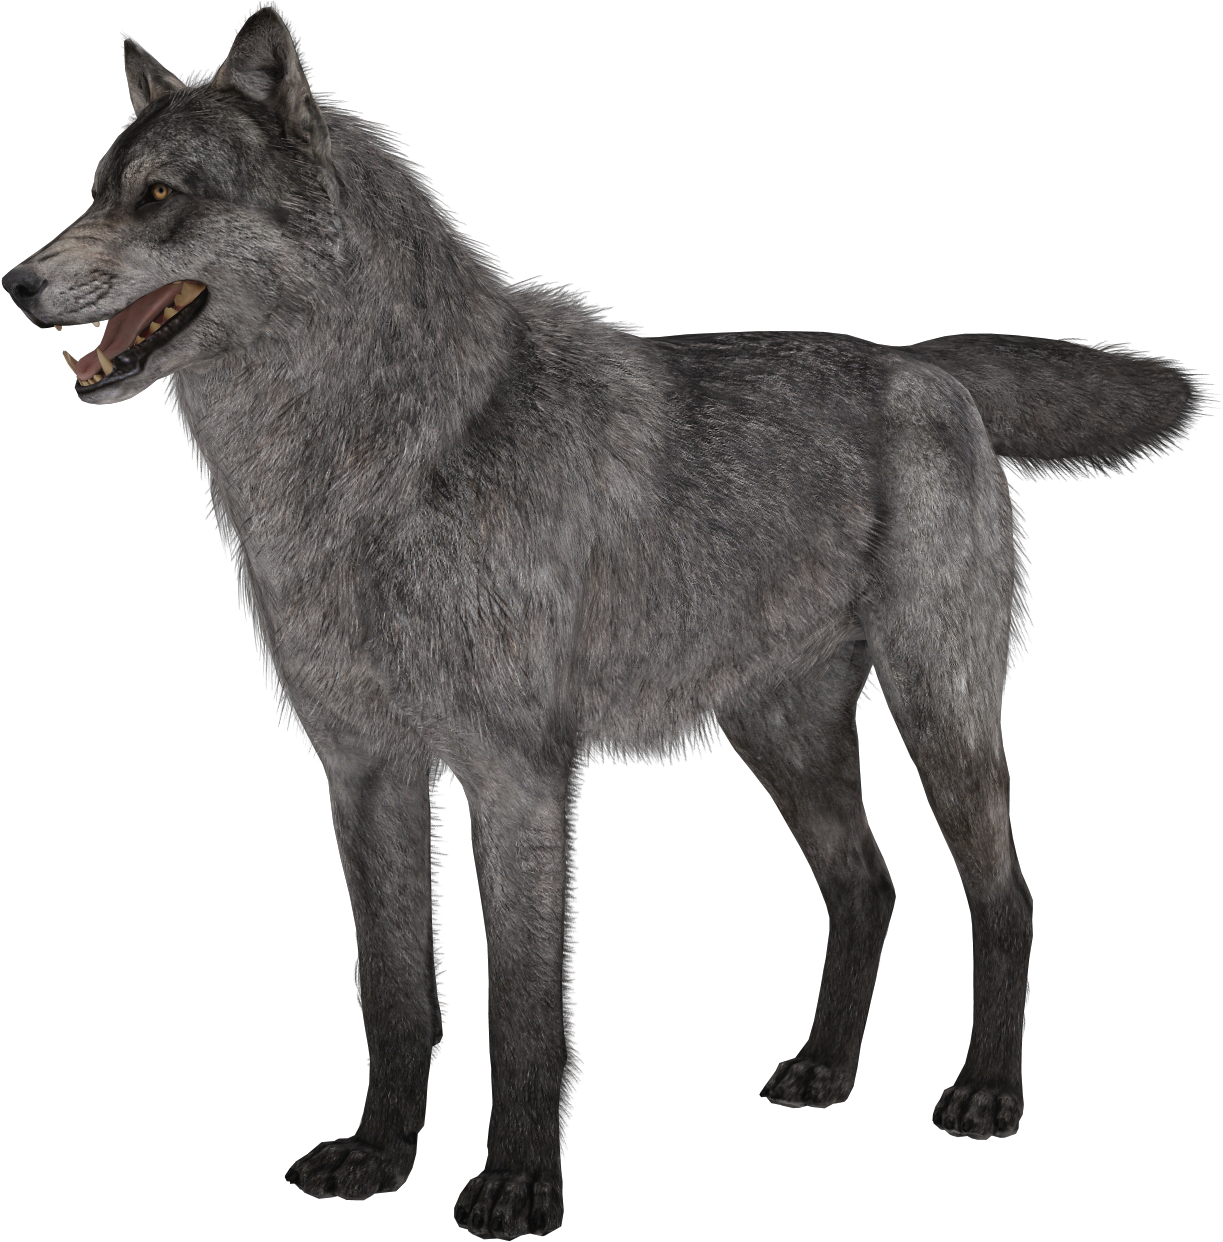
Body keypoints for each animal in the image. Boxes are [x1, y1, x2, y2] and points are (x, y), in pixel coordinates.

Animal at [3, 8, 1194, 1237]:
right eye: (96, 191)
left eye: (159, 195)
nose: (16, 282)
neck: (382, 464)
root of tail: (921, 367)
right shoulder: (364, 774)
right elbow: (393, 993)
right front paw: (378, 1157)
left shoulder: (515, 777)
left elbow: (519, 1006)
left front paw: (517, 1186)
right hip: (782, 739)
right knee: (866, 883)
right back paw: (822, 1071)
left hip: (938, 715)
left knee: (1003, 895)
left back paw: (986, 1093)